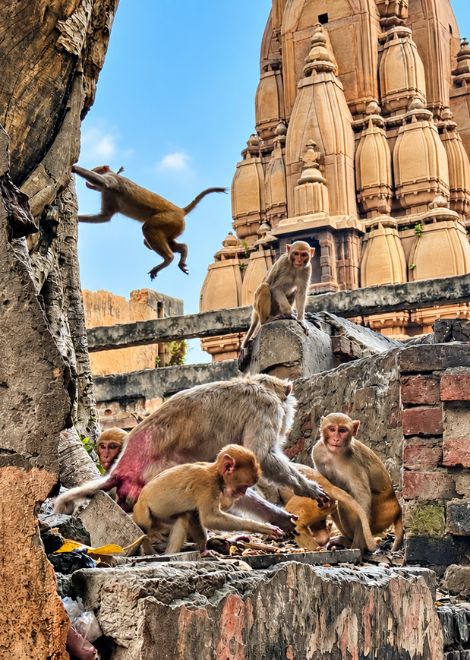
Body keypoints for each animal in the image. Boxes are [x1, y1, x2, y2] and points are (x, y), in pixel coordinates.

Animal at [71, 164, 226, 279]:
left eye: (95, 170)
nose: (88, 184)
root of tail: (181, 211)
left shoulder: (112, 181)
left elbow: (104, 183)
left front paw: (75, 168)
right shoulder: (107, 194)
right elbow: (104, 217)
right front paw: (78, 218)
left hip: (169, 219)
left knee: (148, 229)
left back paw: (168, 258)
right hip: (175, 226)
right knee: (156, 240)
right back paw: (183, 251)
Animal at [133, 445, 283, 554]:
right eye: (244, 486)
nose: (242, 493)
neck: (216, 474)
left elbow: (196, 515)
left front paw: (204, 548)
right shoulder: (207, 486)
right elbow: (210, 518)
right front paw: (261, 527)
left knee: (184, 516)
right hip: (143, 514)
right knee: (147, 528)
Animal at [312, 413, 403, 552]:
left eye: (342, 430)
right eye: (332, 429)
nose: (336, 439)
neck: (334, 454)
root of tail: (397, 507)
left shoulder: (354, 462)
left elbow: (363, 501)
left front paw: (357, 547)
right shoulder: (317, 452)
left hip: (383, 513)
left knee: (345, 504)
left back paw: (357, 545)